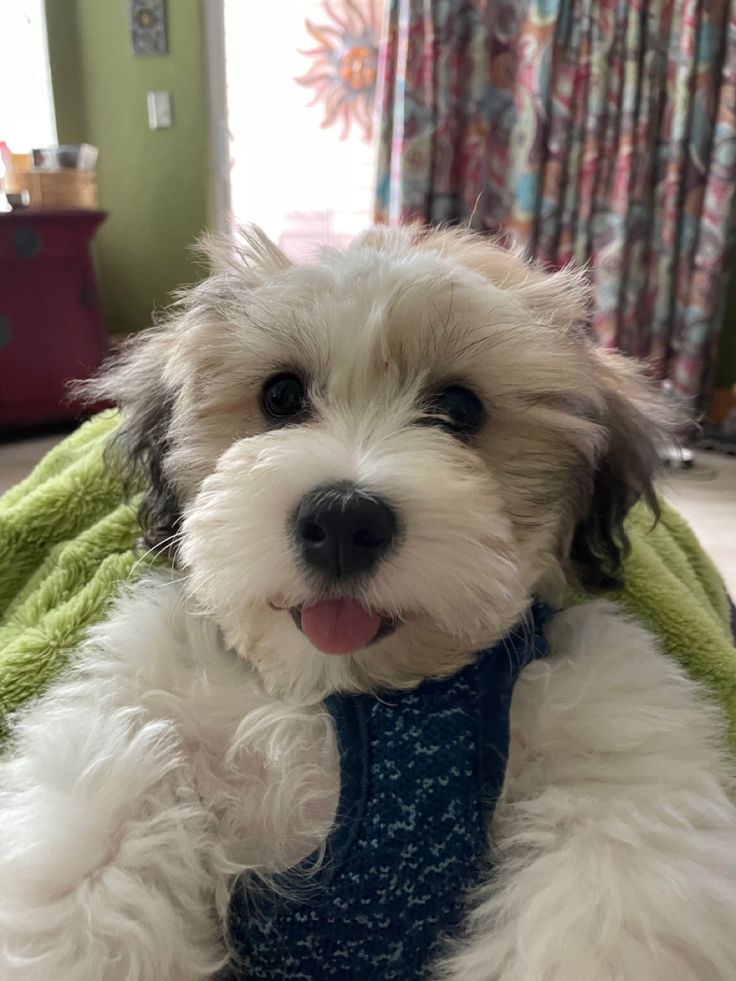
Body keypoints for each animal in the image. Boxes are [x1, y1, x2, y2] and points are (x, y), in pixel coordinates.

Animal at [1, 226, 736, 976]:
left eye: (460, 409)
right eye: (281, 396)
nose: (343, 520)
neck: (353, 694)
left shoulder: (615, 759)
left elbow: (606, 900)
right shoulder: (141, 704)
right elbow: (97, 838)